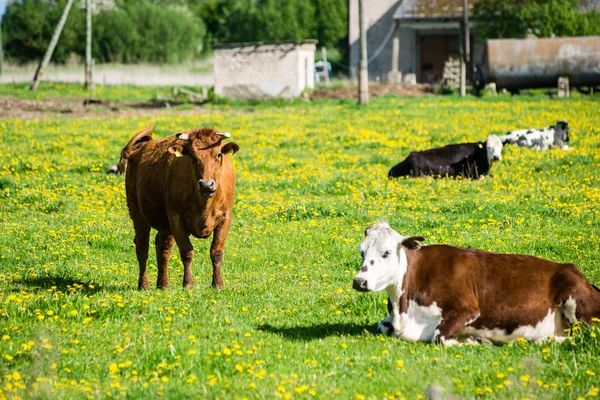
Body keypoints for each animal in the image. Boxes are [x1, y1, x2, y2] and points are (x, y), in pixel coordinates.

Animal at [120, 126, 240, 290]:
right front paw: (188, 283)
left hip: (165, 225)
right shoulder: (176, 218)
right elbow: (187, 252)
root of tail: (137, 151)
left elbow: (216, 251)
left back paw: (163, 285)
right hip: (137, 214)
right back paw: (144, 285)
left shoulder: (225, 218)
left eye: (219, 154)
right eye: (192, 155)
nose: (206, 185)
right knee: (142, 247)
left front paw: (218, 284)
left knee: (162, 247)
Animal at [352, 223, 600, 346]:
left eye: (386, 253)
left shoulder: (467, 308)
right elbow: (383, 326)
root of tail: (572, 268)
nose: (359, 281)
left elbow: (440, 337)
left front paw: (474, 341)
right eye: (362, 251)